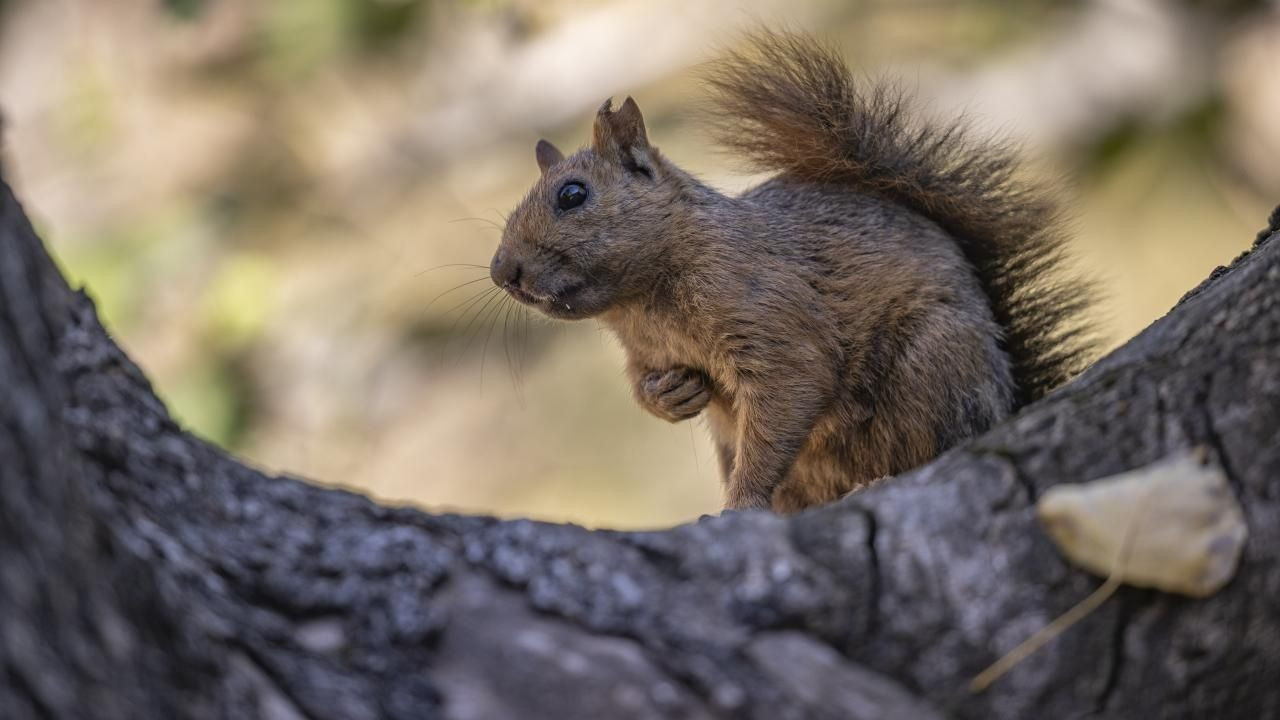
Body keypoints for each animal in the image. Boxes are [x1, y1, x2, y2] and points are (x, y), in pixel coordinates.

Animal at [486, 30, 1090, 507]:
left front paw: (740, 505)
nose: (501, 272)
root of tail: (1009, 396)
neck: (643, 304)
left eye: (572, 195)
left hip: (931, 369)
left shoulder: (771, 314)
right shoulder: (646, 352)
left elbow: (793, 387)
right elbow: (643, 384)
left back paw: (878, 482)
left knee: (935, 446)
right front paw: (667, 396)